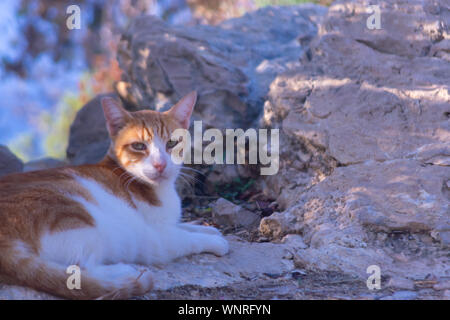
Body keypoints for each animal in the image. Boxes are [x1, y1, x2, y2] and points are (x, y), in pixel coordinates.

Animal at [0, 92, 229, 300]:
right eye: (139, 146)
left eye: (172, 143)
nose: (160, 164)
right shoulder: (157, 239)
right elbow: (187, 238)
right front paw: (214, 241)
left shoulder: (166, 224)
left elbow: (185, 226)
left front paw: (207, 229)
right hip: (75, 218)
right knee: (78, 269)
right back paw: (122, 272)